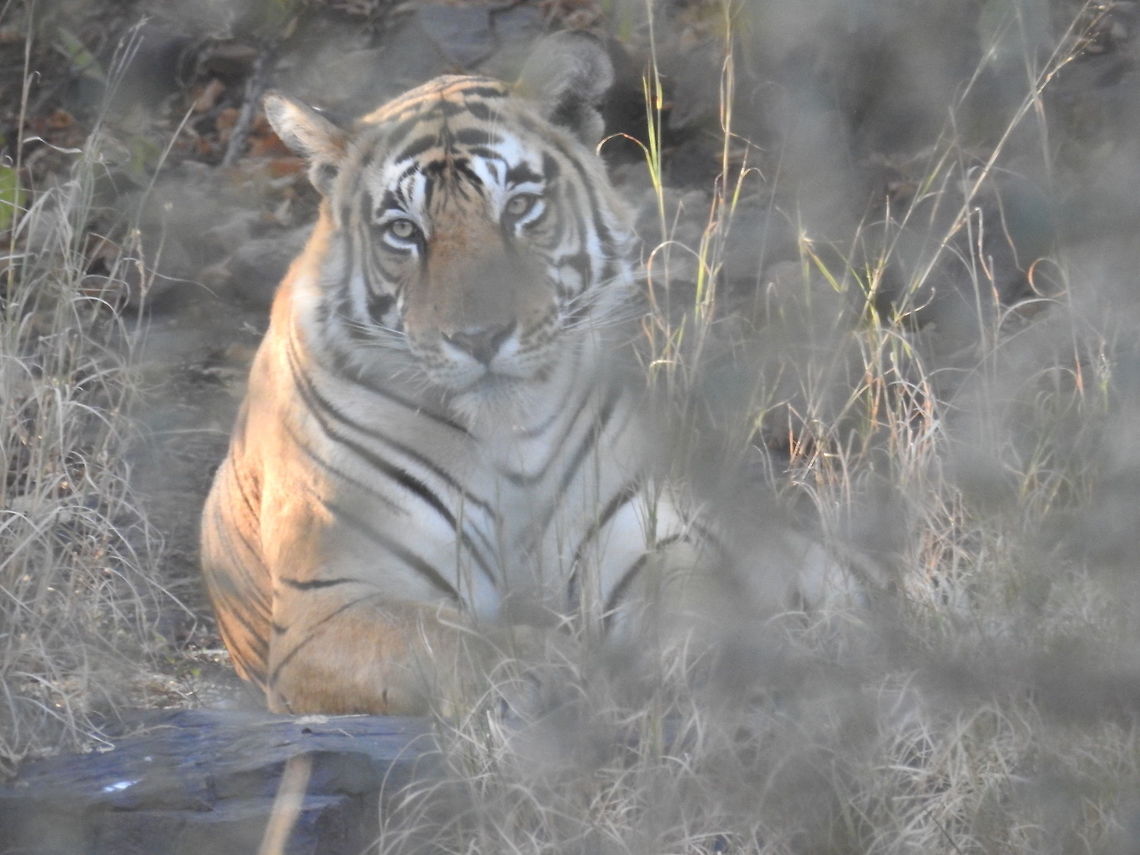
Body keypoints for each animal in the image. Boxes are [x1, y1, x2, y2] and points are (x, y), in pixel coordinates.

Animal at [200, 31, 826, 716]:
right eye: (404, 231)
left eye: (520, 207)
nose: (478, 337)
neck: (507, 438)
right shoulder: (333, 602)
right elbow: (458, 644)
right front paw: (564, 674)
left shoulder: (643, 538)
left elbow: (691, 605)